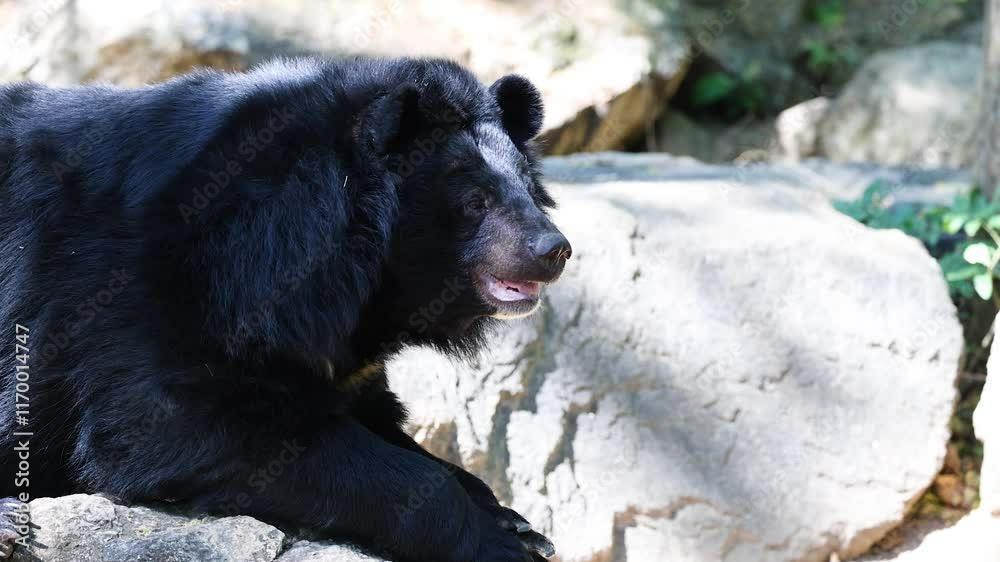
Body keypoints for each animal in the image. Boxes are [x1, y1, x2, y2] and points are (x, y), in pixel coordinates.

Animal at [0, 56, 572, 562]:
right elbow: (164, 420)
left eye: (528, 190)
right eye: (475, 200)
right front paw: (492, 542)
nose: (554, 249)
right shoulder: (150, 290)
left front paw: (514, 523)